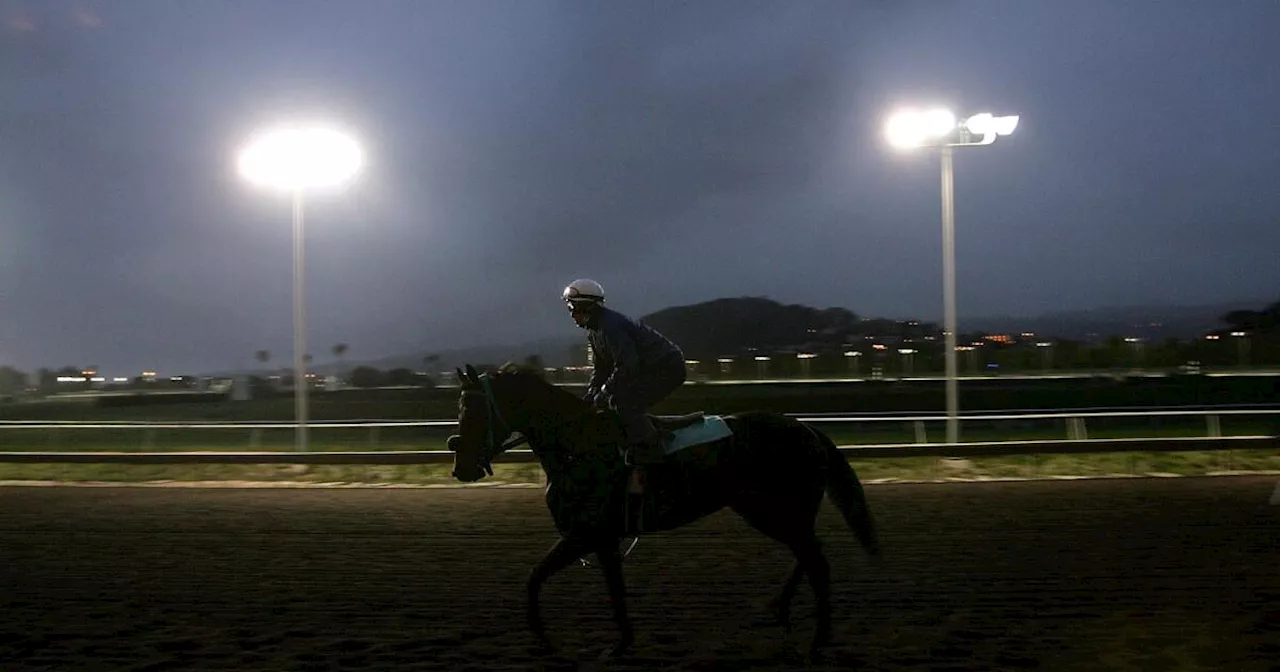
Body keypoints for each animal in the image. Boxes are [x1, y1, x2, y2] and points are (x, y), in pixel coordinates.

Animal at [448, 360, 880, 655]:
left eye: (474, 410)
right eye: (460, 407)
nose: (461, 467)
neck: (578, 445)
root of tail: (807, 428)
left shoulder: (584, 534)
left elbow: (534, 578)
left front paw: (544, 640)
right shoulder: (602, 539)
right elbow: (613, 589)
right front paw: (622, 644)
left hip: (776, 510)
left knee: (815, 560)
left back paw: (818, 641)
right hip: (770, 511)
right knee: (808, 554)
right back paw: (780, 609)